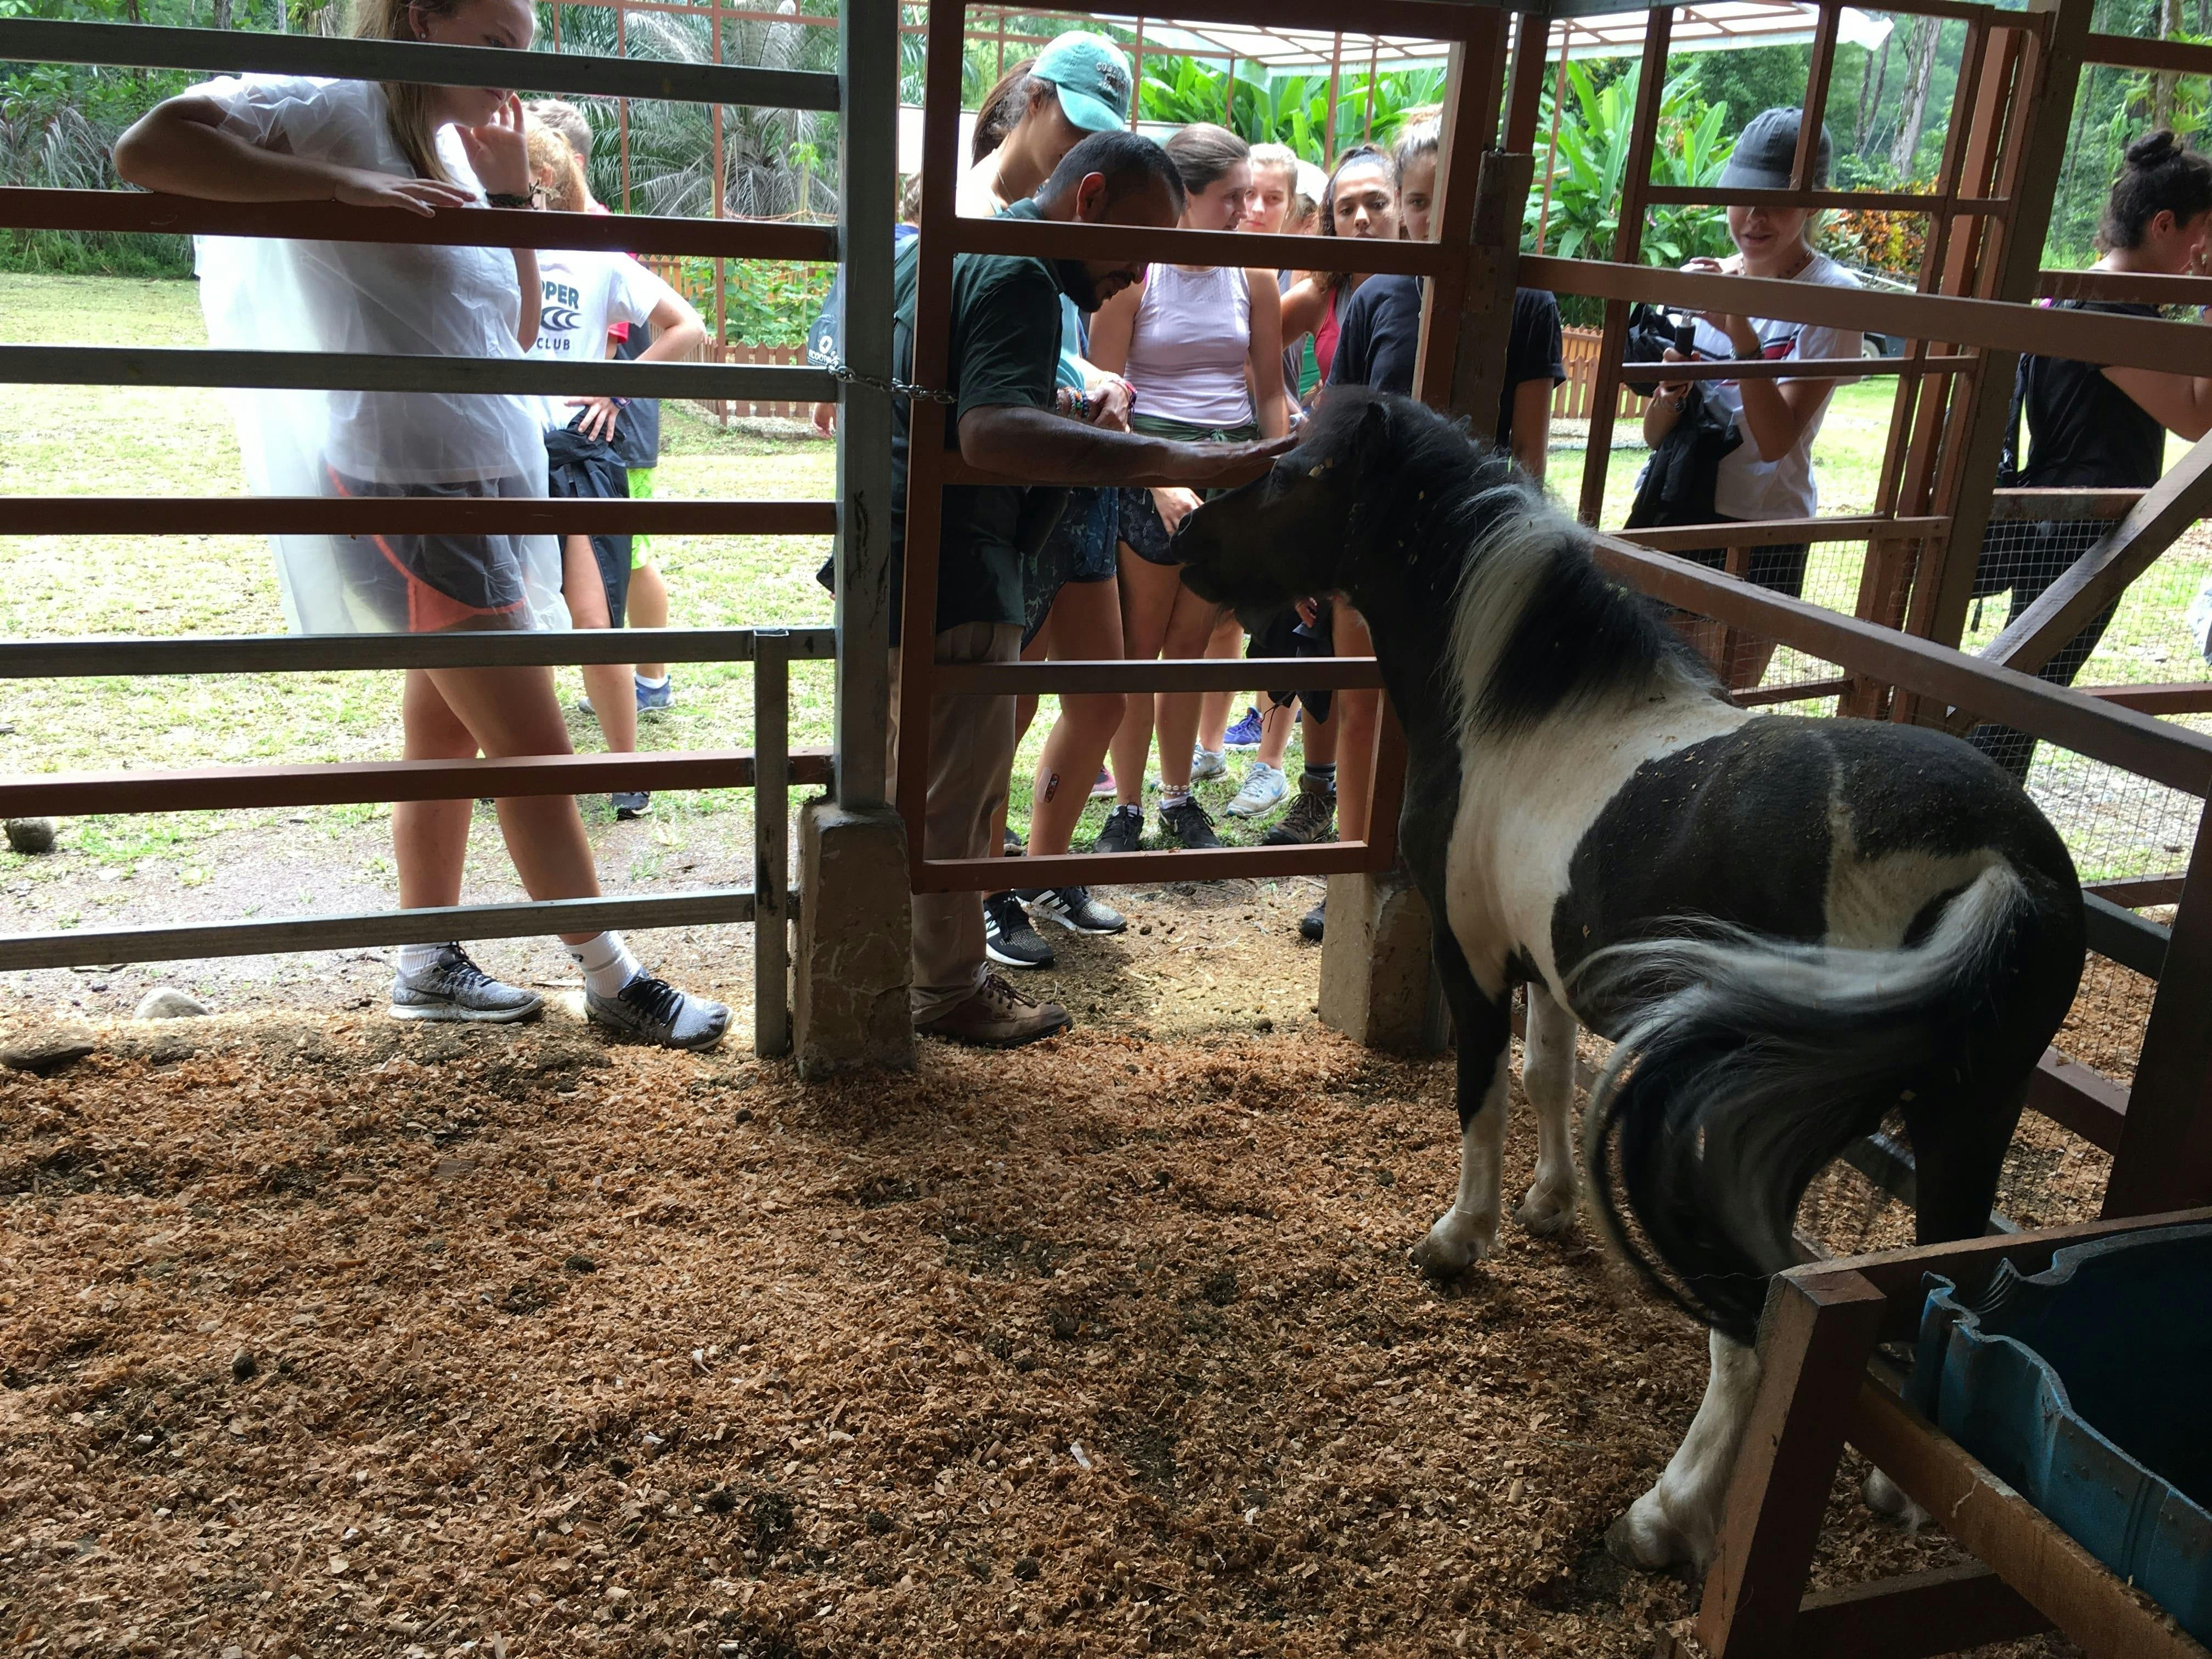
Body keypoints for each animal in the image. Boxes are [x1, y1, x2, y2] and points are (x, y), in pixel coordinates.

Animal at [1177, 387, 2088, 1575]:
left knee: (1749, 1328)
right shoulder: (1552, 962)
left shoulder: (1473, 958)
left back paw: (1666, 1516)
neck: (1527, 713)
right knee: (1949, 1276)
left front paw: (1461, 1238)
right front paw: (1549, 1207)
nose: (1185, 540)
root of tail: (1989, 861)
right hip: (1967, 1116)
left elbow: (1480, 1095)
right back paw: (1896, 1490)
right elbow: (1549, 1075)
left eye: (1303, 473)